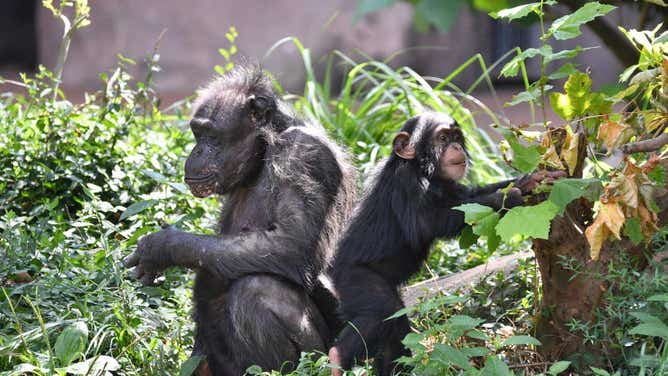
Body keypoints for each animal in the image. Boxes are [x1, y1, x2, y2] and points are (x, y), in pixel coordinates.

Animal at [123, 66, 358, 374]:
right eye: (197, 133)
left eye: (211, 134)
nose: (197, 151)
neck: (267, 148)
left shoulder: (305, 155)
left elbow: (291, 245)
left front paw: (162, 246)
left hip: (325, 357)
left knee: (257, 290)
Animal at [328, 112, 564, 376]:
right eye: (442, 138)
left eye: (456, 137)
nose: (456, 146)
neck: (423, 171)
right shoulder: (407, 182)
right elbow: (430, 221)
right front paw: (508, 197)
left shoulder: (450, 187)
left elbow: (468, 197)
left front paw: (531, 180)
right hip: (355, 278)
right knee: (382, 309)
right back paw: (336, 358)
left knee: (395, 322)